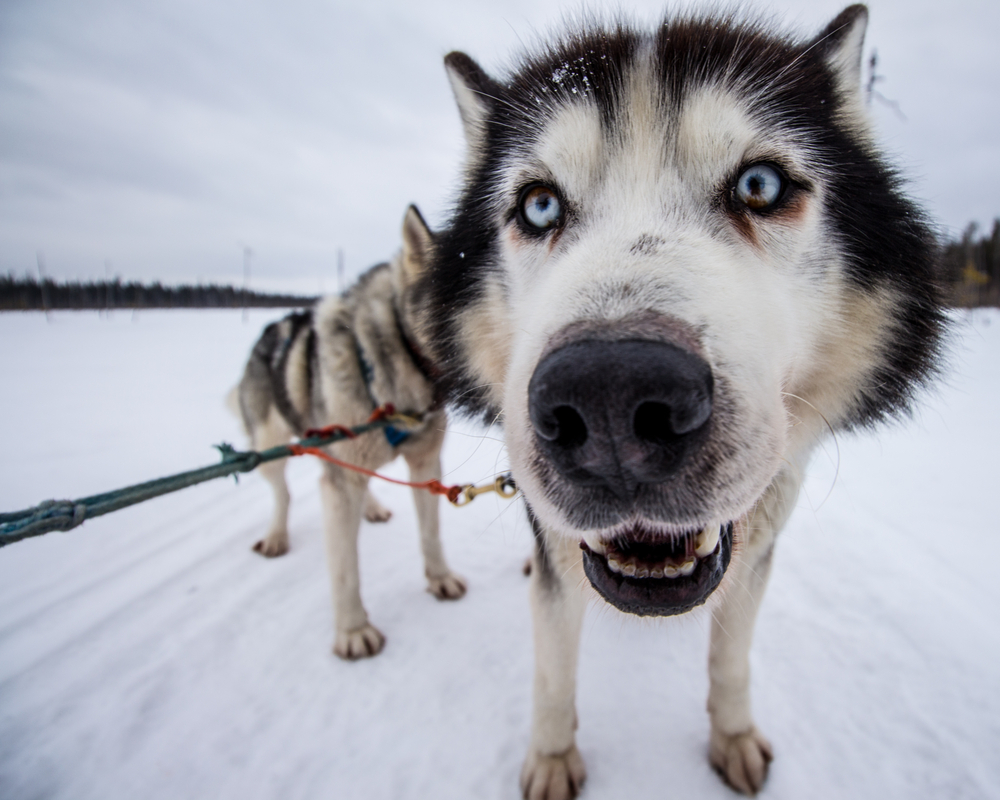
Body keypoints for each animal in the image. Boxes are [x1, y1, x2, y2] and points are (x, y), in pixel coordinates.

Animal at [234, 205, 468, 656]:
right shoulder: (339, 484)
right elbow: (346, 569)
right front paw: (353, 629)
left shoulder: (426, 465)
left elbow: (431, 533)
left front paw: (439, 578)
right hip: (271, 449)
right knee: (283, 494)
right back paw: (276, 535)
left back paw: (371, 507)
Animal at [420, 4, 944, 792]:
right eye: (538, 206)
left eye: (759, 186)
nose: (609, 397)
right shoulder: (557, 557)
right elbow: (553, 670)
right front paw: (552, 758)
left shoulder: (757, 553)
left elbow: (731, 659)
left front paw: (732, 737)